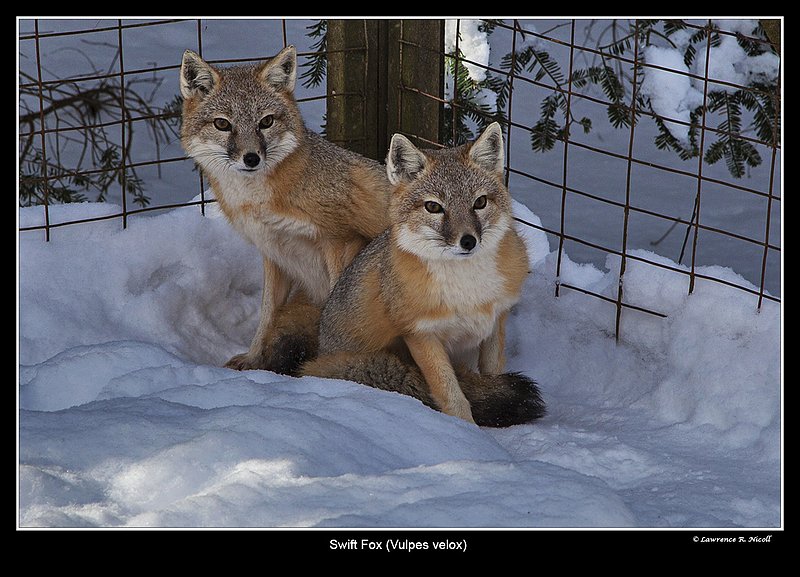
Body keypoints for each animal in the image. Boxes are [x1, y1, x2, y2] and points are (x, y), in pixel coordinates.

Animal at [179, 46, 392, 374]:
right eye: (222, 124)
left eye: (265, 122)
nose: (251, 158)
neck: (260, 201)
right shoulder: (273, 254)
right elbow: (266, 316)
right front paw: (254, 359)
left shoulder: (341, 242)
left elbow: (333, 313)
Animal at [302, 122, 546, 427]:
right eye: (433, 207)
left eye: (479, 203)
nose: (468, 241)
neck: (468, 290)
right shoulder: (421, 334)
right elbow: (451, 394)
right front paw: (465, 431)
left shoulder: (495, 320)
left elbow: (492, 375)